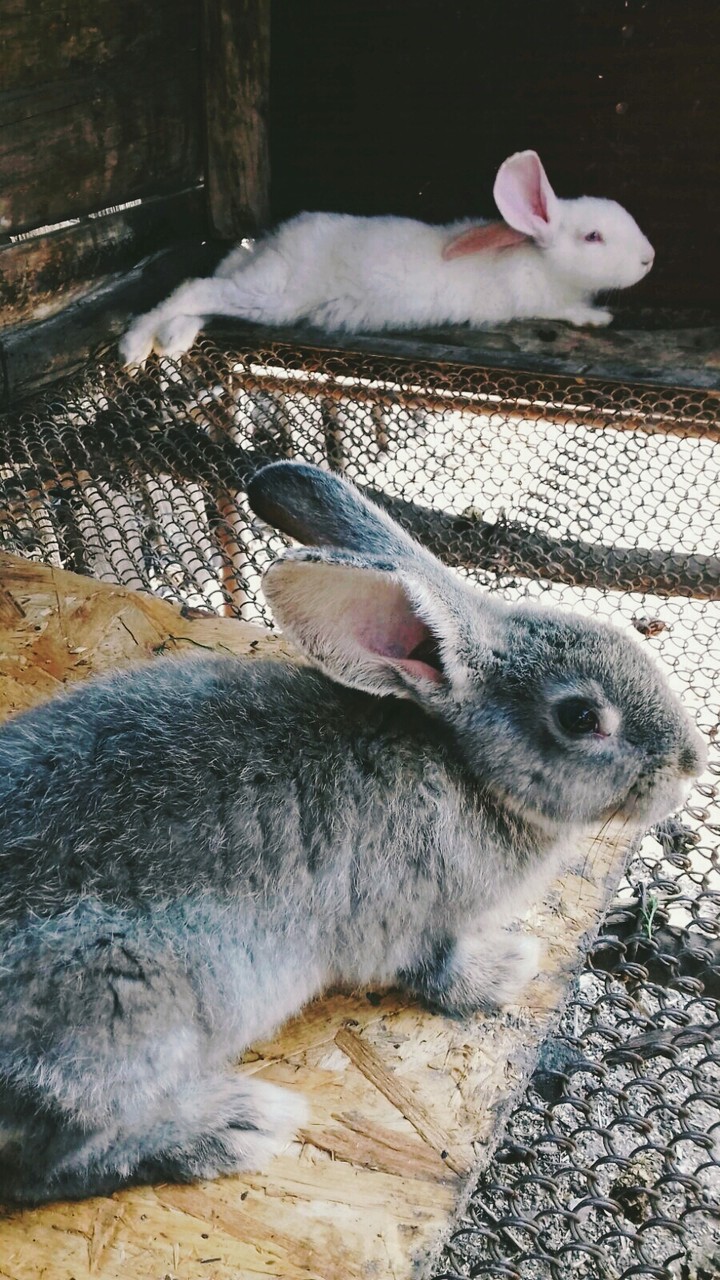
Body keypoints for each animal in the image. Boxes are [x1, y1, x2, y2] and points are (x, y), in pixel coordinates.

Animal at [0, 462, 703, 1205]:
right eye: (580, 717)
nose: (690, 767)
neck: (464, 764)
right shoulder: (418, 922)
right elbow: (441, 974)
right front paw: (508, 969)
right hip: (126, 1012)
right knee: (51, 1164)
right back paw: (234, 1127)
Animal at [120, 150, 655, 365]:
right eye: (593, 237)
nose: (649, 258)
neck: (538, 259)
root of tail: (273, 242)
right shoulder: (537, 302)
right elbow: (567, 311)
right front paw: (598, 317)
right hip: (274, 294)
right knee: (195, 288)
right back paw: (135, 343)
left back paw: (170, 339)